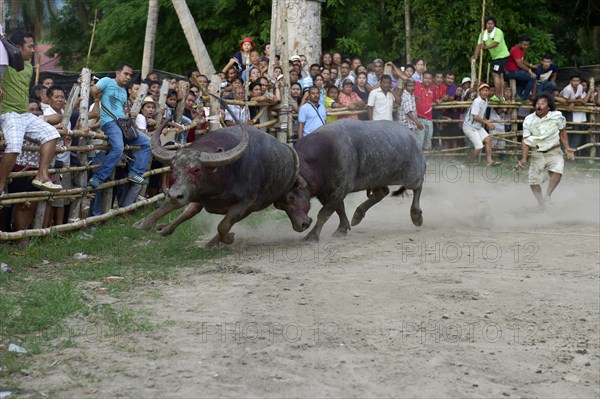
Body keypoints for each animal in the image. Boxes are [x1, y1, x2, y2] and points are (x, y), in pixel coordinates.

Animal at [135, 122, 302, 247]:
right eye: (174, 168)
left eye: (196, 169)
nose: (175, 195)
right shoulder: (191, 192)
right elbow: (168, 205)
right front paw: (143, 224)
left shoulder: (244, 203)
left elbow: (223, 225)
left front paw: (228, 238)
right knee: (192, 210)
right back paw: (165, 228)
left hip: (256, 206)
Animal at [276, 119, 426, 242]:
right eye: (279, 206)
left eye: (291, 197)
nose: (299, 226)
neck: (320, 160)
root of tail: (412, 136)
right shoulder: (327, 192)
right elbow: (339, 209)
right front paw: (342, 228)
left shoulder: (341, 188)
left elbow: (324, 213)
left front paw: (312, 236)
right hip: (376, 178)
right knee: (382, 192)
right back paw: (358, 215)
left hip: (412, 176)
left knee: (418, 187)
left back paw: (416, 216)